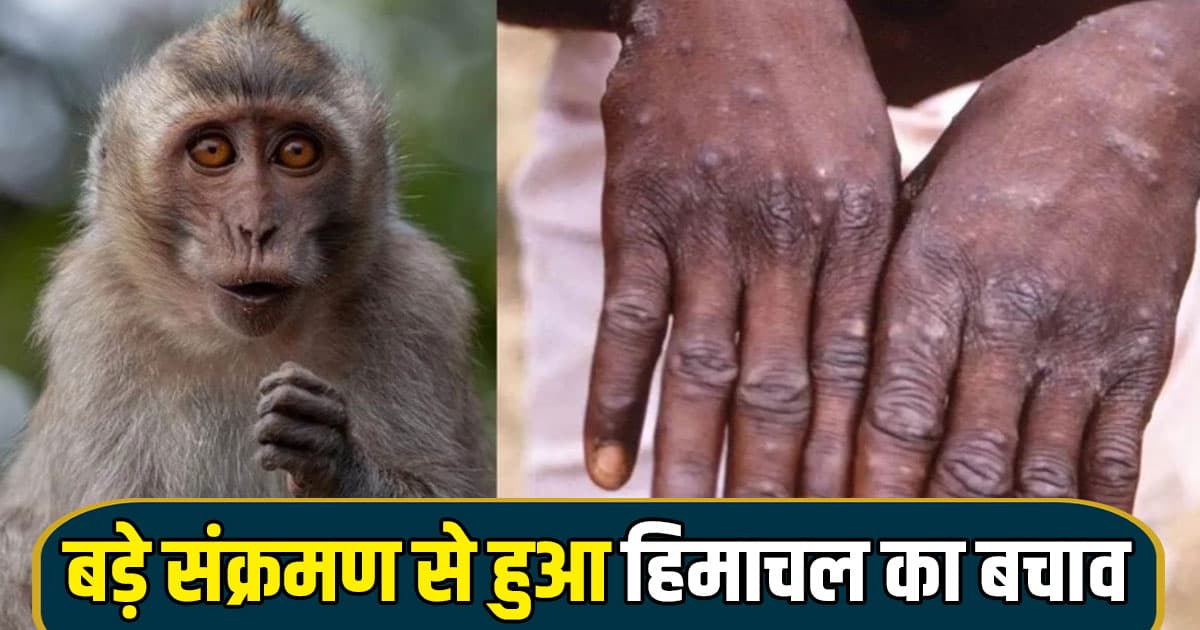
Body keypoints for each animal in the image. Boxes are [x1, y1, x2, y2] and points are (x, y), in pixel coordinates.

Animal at [0, 0, 492, 624]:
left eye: (296, 152)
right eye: (212, 151)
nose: (256, 226)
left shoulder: (419, 301)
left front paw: (335, 465)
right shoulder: (94, 316)